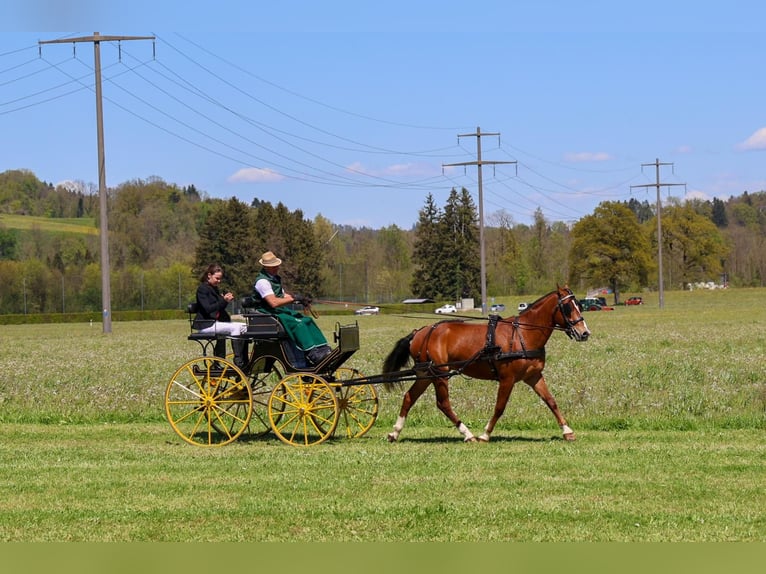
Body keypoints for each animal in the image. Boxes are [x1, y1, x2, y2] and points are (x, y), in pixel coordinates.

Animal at [384, 286, 592, 444]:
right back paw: (468, 434)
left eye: (579, 305)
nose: (584, 333)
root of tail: (419, 332)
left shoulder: (533, 376)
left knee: (409, 397)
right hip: (440, 374)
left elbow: (551, 401)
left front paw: (567, 431)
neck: (522, 334)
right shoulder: (507, 379)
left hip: (426, 374)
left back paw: (395, 432)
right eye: (567, 307)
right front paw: (485, 434)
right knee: (443, 403)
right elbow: (499, 407)